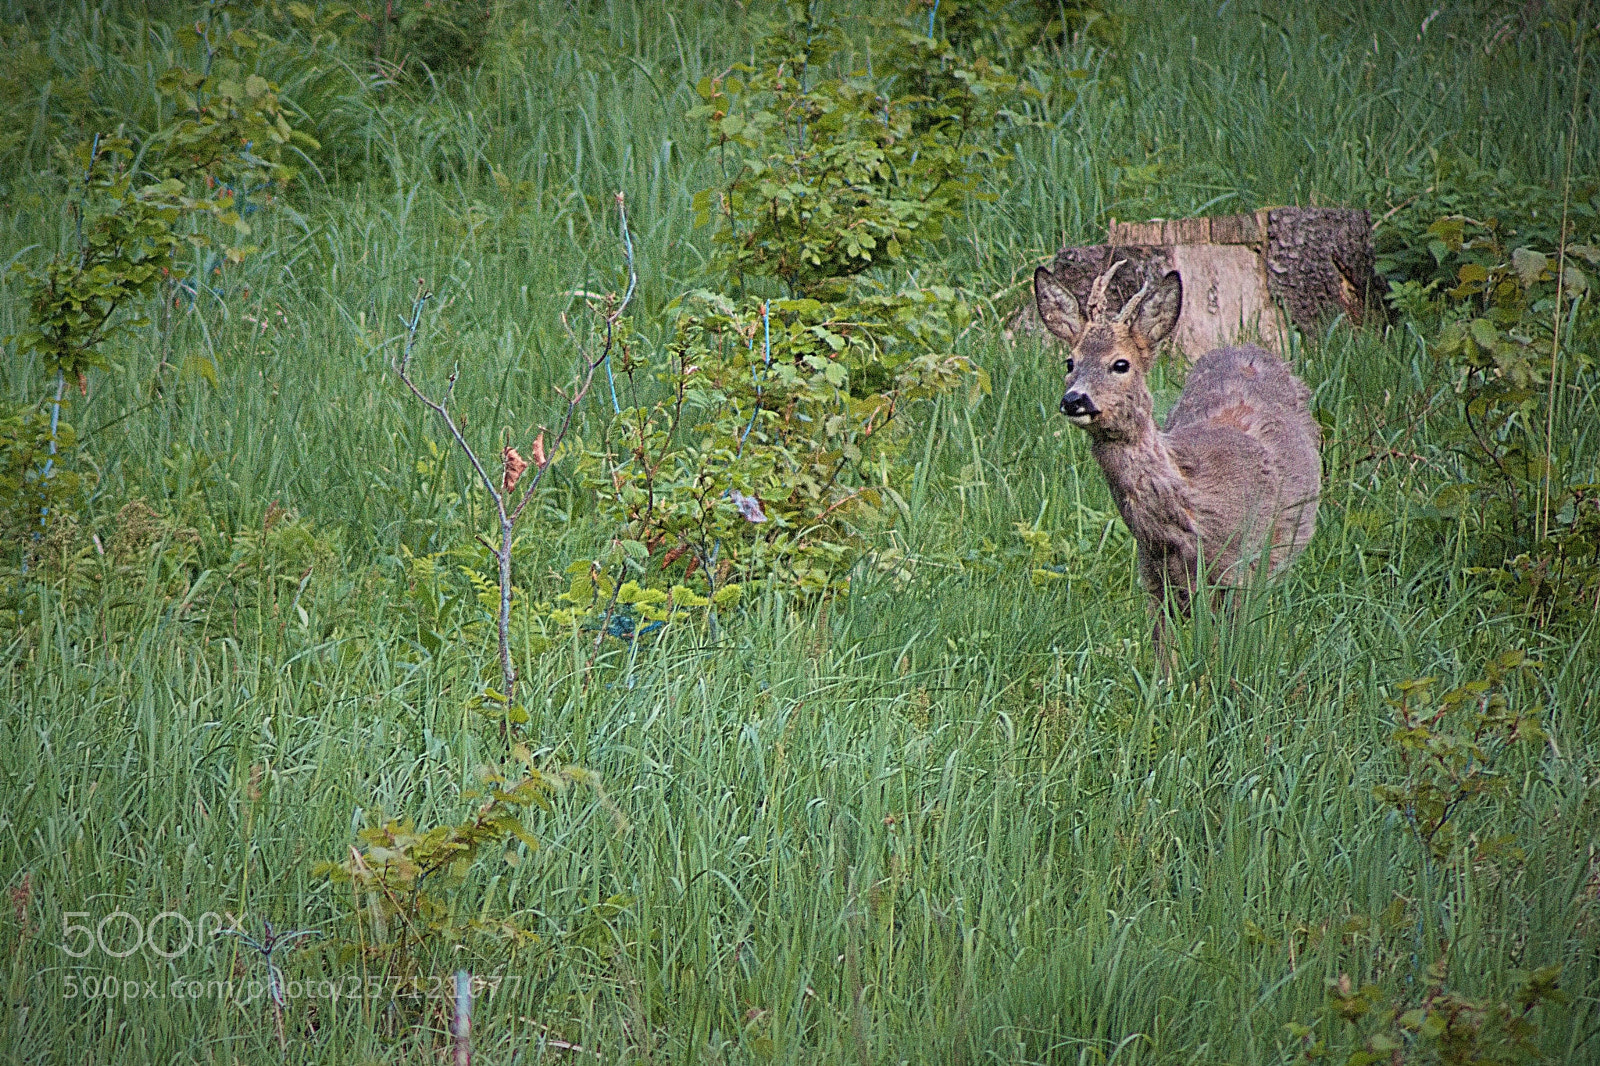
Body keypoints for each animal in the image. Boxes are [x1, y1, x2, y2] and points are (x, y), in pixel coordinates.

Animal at [1033, 260, 1320, 661]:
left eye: (1120, 364)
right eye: (1069, 361)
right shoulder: (1154, 578)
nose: (1074, 399)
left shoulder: (1238, 571)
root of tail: (1248, 348)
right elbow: (1162, 658)